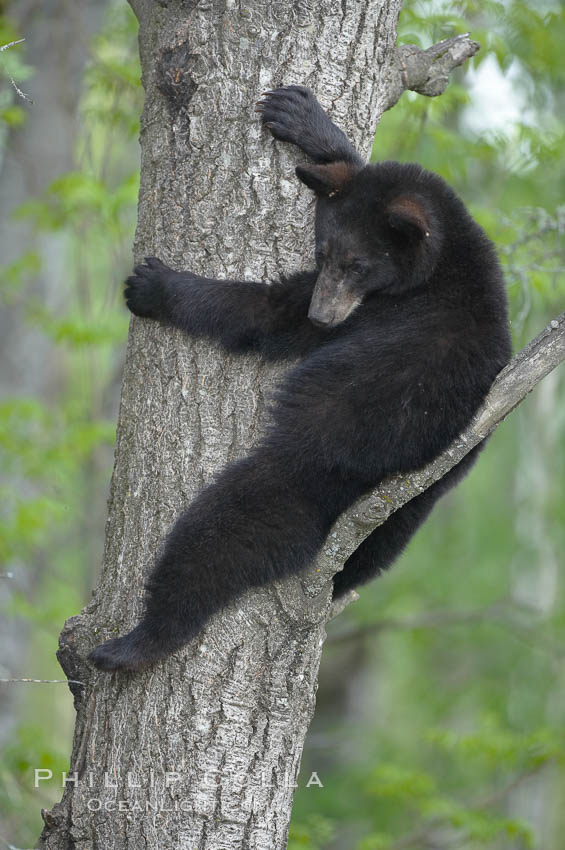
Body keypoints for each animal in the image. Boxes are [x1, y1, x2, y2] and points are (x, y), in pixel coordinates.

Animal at [89, 85, 511, 672]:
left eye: (358, 264)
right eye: (324, 251)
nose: (323, 316)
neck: (442, 267)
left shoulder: (375, 313)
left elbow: (268, 311)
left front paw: (158, 286)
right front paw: (303, 118)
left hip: (308, 473)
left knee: (224, 532)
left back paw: (134, 642)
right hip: (403, 522)